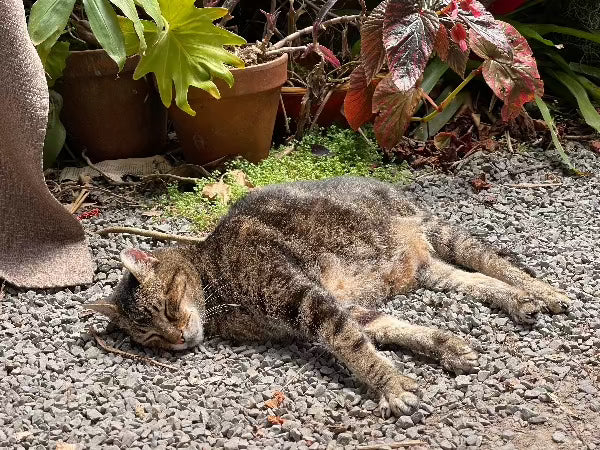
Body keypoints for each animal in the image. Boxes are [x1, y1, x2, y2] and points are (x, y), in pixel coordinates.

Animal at [86, 177, 568, 418]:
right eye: (151, 339)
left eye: (168, 308)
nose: (179, 339)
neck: (214, 277)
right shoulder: (347, 309)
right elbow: (391, 331)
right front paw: (446, 347)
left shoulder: (305, 299)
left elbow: (351, 346)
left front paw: (391, 387)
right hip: (434, 271)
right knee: (479, 280)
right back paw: (521, 301)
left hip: (443, 234)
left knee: (498, 262)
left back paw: (548, 293)